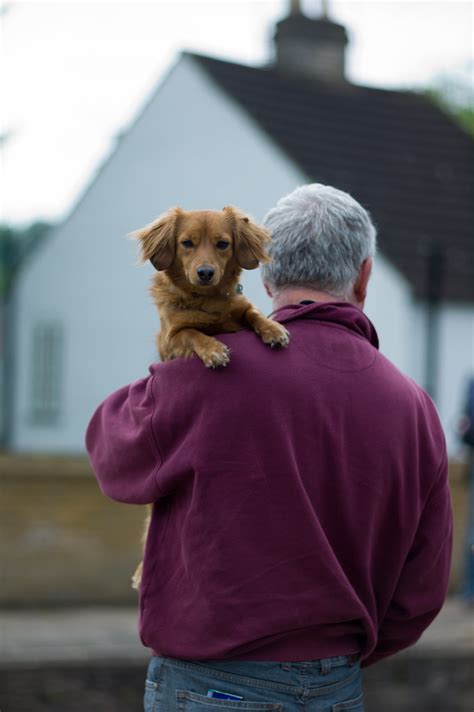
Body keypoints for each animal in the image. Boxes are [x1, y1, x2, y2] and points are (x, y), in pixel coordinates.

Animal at [130, 204, 290, 588]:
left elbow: (252, 313)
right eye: (186, 243)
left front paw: (273, 329)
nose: (205, 273)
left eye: (222, 244)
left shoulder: (239, 308)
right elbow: (192, 333)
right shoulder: (173, 336)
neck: (205, 301)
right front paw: (214, 350)